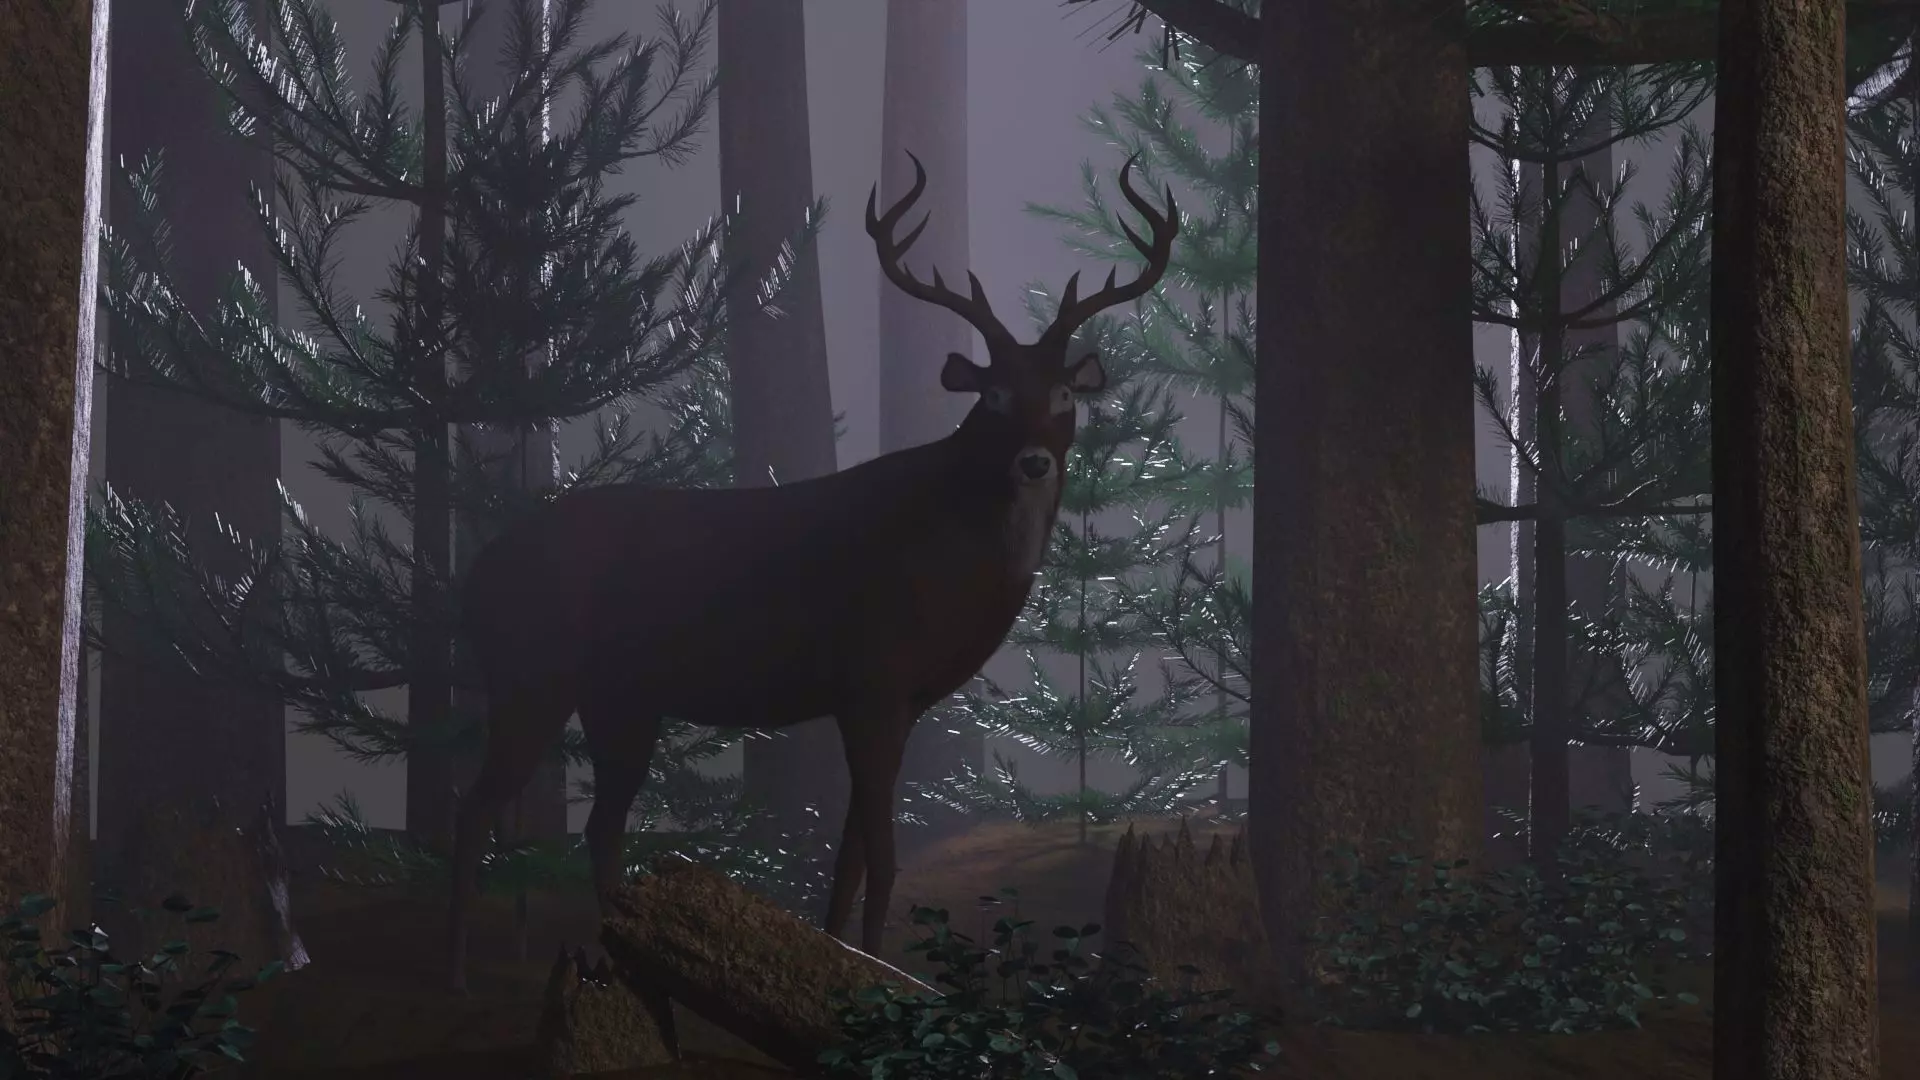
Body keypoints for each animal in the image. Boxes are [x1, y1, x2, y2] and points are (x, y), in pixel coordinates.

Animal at [445, 152, 1178, 992]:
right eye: (994, 393)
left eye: (1061, 393)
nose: (1033, 461)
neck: (951, 570)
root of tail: (478, 575)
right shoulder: (873, 675)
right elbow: (882, 857)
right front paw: (882, 969)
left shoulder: (894, 699)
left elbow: (852, 854)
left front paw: (840, 957)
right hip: (532, 672)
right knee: (474, 809)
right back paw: (454, 965)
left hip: (619, 697)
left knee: (600, 824)